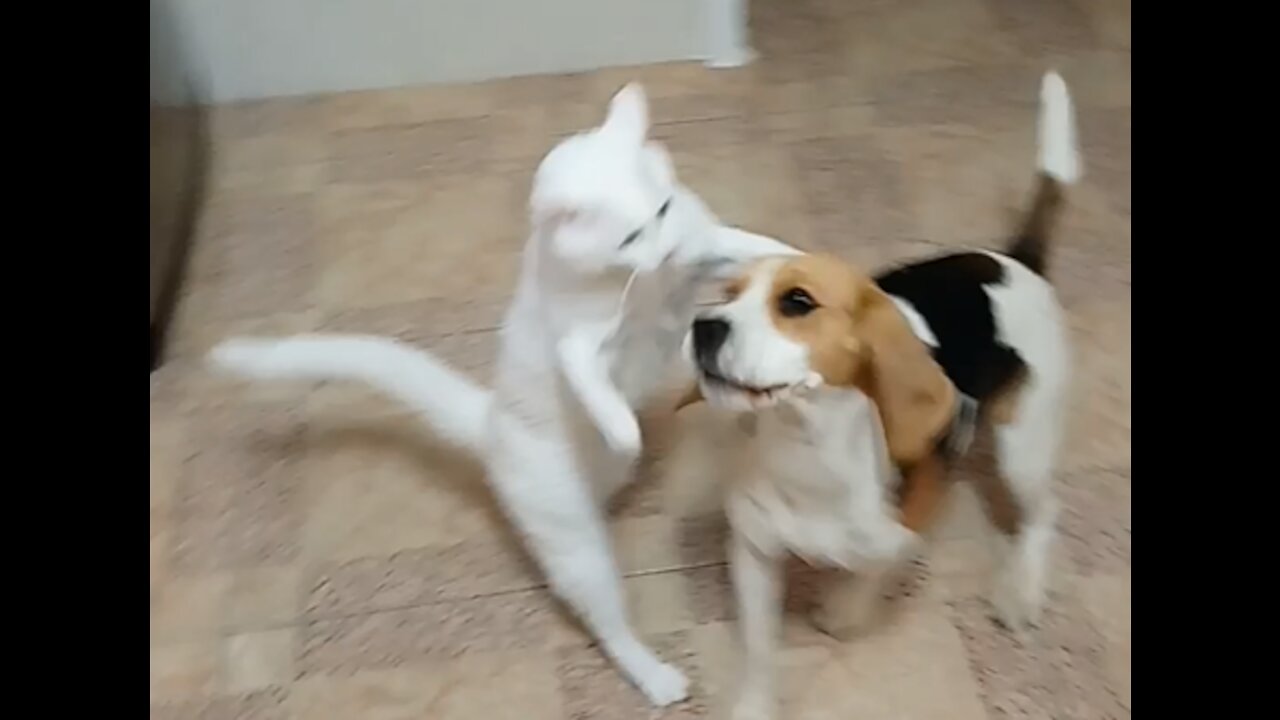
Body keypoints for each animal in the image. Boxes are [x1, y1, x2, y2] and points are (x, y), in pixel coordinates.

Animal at [215, 82, 798, 702]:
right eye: (631, 236)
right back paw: (657, 677)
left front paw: (798, 264)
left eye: (662, 210)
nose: (662, 253)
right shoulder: (579, 343)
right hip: (574, 548)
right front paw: (622, 429)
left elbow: (748, 243)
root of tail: (490, 423)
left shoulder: (701, 243)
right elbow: (590, 379)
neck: (646, 282)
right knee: (608, 623)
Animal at [680, 73, 1080, 717]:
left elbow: (870, 566)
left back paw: (1021, 591)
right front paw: (755, 705)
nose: (704, 327)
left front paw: (845, 609)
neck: (808, 446)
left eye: (797, 302)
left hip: (1024, 445)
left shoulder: (901, 529)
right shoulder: (753, 553)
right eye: (727, 294)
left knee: (1044, 512)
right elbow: (761, 654)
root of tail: (1017, 264)